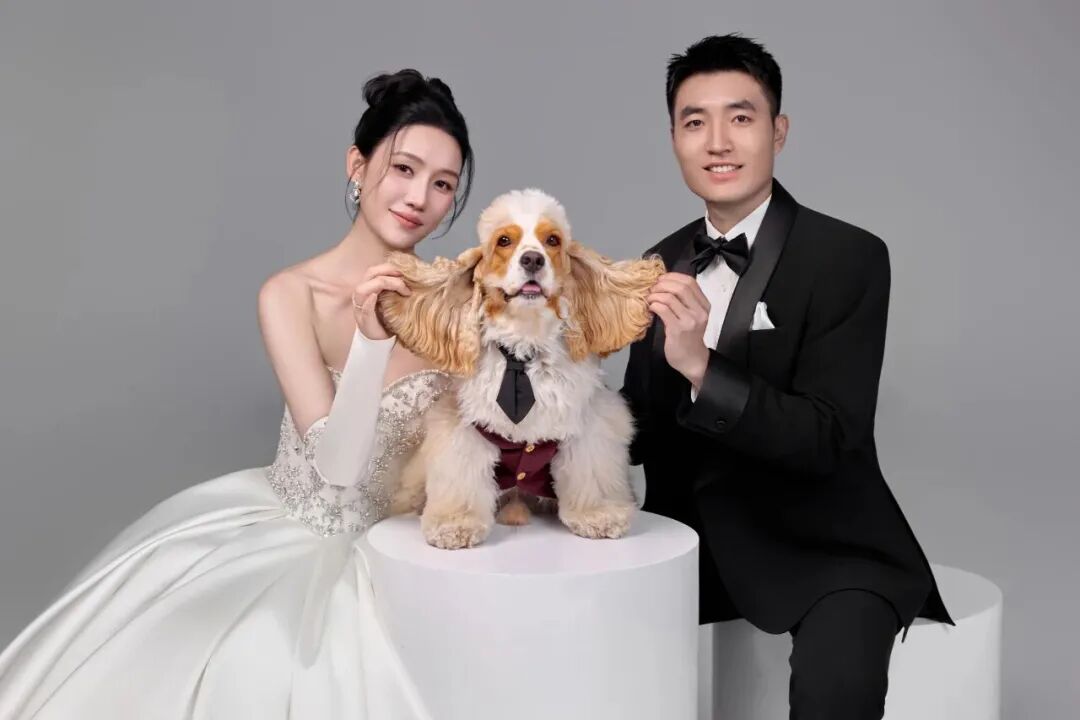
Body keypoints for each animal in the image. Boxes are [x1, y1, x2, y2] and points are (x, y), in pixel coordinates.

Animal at [377, 189, 665, 549]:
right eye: (504, 241)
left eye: (552, 240)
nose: (532, 259)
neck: (525, 349)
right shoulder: (460, 427)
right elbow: (461, 477)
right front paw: (455, 525)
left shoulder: (591, 423)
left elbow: (591, 471)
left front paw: (598, 516)